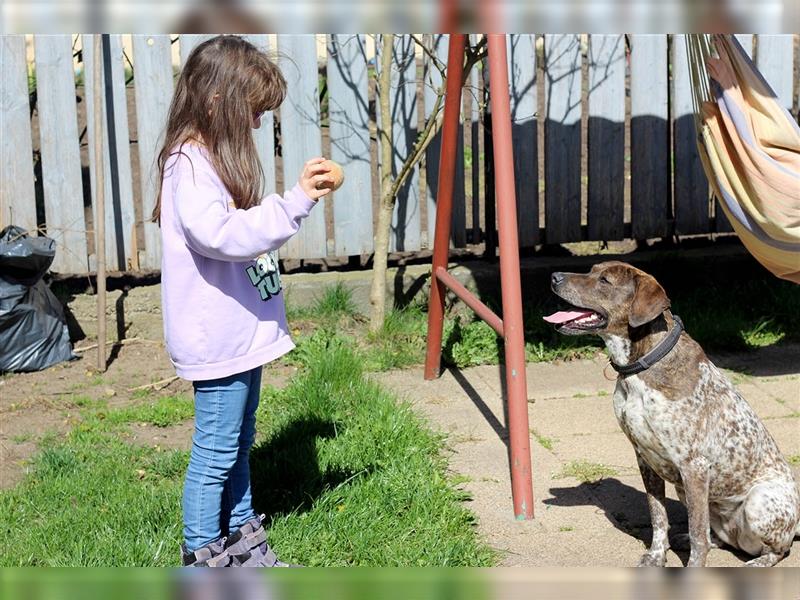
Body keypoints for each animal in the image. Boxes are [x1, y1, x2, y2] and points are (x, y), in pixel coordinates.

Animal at [548, 262, 796, 568]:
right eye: (591, 270)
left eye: (604, 280)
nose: (554, 277)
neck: (641, 367)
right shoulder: (644, 458)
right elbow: (658, 516)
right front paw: (657, 556)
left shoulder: (694, 466)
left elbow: (698, 533)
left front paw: (693, 570)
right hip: (686, 490)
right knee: (718, 538)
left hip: (758, 502)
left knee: (776, 549)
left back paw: (756, 563)